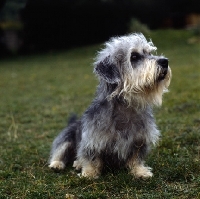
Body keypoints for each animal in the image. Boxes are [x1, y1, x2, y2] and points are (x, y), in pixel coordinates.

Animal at [48, 33, 172, 179]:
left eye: (149, 53)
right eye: (134, 56)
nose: (165, 61)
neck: (126, 107)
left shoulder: (139, 140)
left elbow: (136, 158)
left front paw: (140, 171)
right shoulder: (92, 140)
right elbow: (91, 158)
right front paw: (89, 173)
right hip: (66, 138)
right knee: (59, 152)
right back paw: (58, 164)